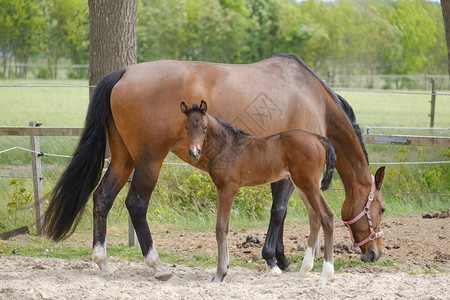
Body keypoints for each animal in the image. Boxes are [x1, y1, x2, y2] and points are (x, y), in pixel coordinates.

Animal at [44, 53, 384, 282]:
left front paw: (283, 260)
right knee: (136, 205)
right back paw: (158, 266)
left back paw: (102, 260)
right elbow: (280, 211)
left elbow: (287, 213)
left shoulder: (286, 172)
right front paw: (274, 261)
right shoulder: (291, 175)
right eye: (380, 208)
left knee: (102, 197)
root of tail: (124, 72)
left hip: (123, 159)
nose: (375, 253)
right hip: (149, 161)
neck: (314, 98)